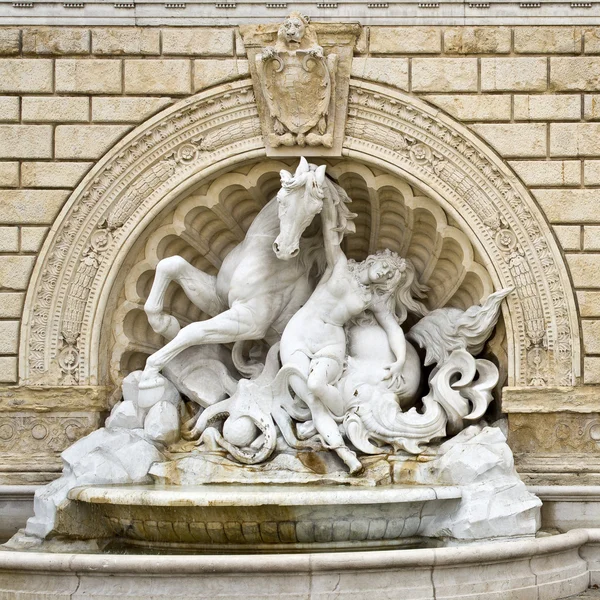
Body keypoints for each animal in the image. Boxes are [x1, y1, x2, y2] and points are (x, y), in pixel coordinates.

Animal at [139, 157, 356, 396]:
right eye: (281, 200)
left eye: (314, 210)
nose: (284, 249)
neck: (259, 251)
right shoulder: (219, 301)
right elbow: (171, 263)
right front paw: (164, 324)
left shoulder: (251, 320)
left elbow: (194, 330)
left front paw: (150, 372)